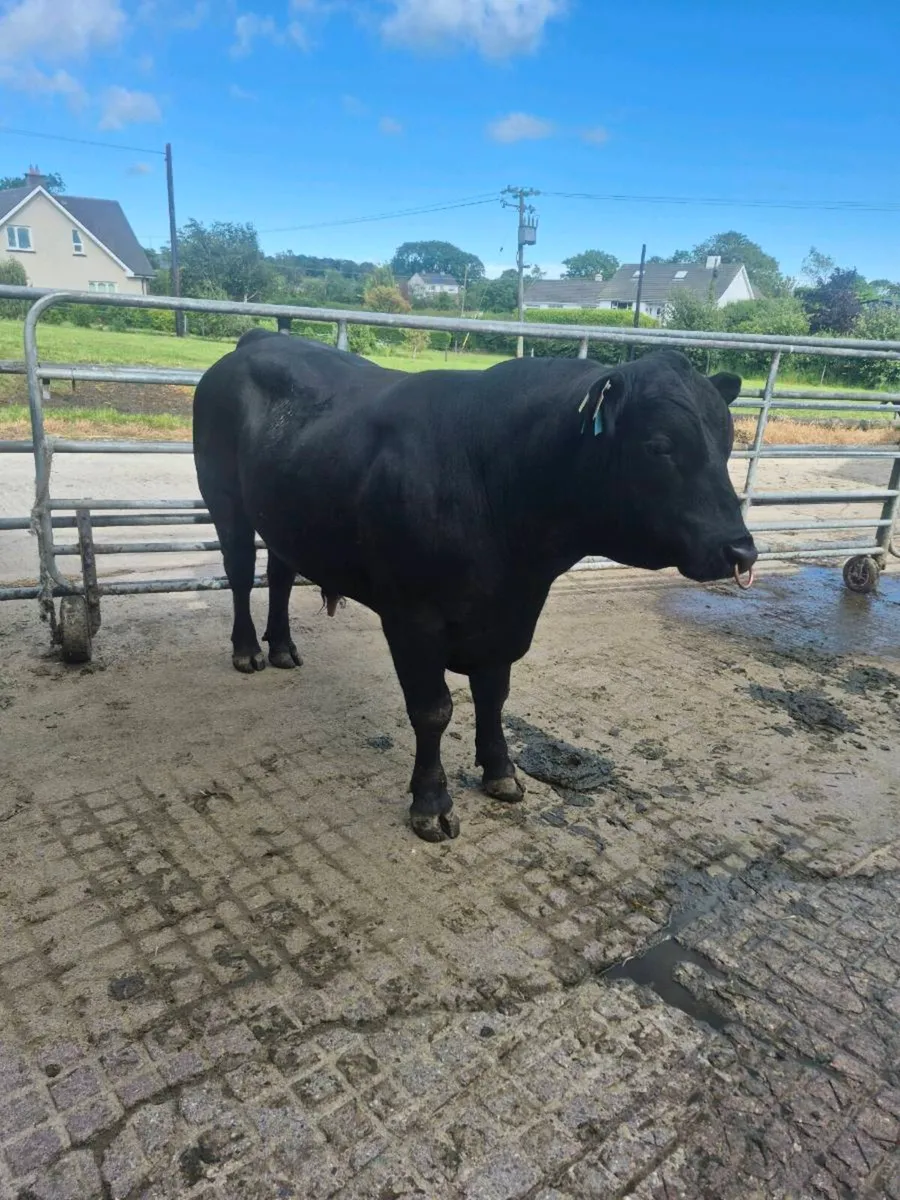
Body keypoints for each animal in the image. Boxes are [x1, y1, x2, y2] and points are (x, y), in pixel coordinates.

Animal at [193, 335, 757, 842]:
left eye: (727, 445)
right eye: (660, 446)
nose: (741, 551)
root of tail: (257, 340)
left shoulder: (509, 616)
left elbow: (494, 695)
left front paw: (501, 771)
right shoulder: (412, 617)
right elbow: (433, 710)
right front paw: (431, 803)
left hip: (283, 514)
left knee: (281, 573)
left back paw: (284, 647)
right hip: (224, 497)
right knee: (240, 571)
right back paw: (248, 649)